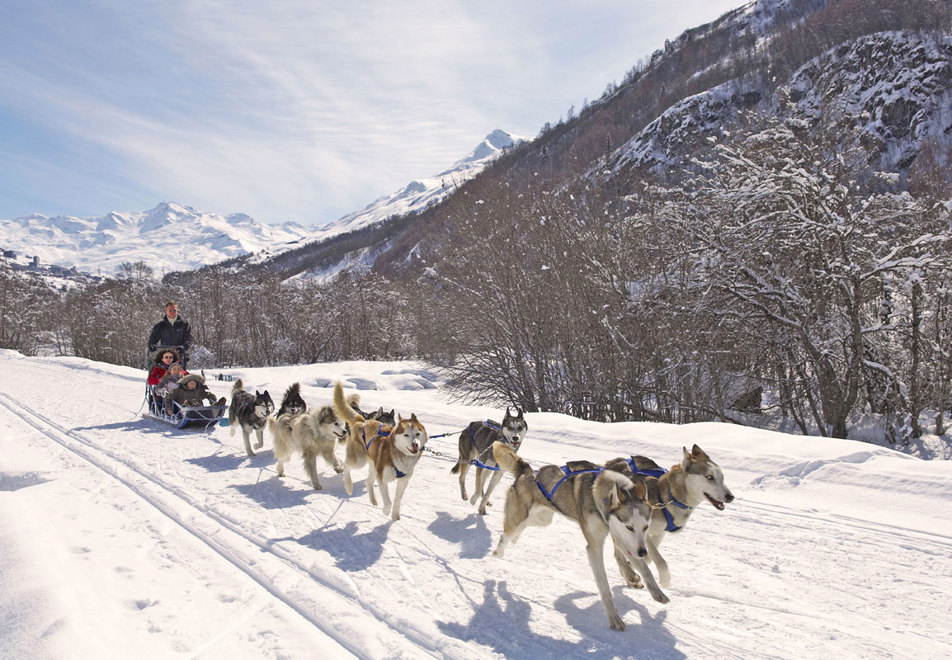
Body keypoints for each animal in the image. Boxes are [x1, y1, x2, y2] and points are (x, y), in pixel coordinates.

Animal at [330, 382, 428, 520]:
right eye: (406, 435)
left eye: (417, 434)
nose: (415, 444)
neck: (399, 455)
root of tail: (363, 421)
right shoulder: (382, 479)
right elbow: (388, 502)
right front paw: (386, 511)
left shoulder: (403, 481)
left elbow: (397, 500)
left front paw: (395, 515)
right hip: (359, 461)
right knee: (347, 465)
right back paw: (348, 486)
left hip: (373, 465)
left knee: (368, 481)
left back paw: (373, 500)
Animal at [494, 440, 664, 632]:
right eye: (629, 527)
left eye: (645, 527)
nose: (643, 552)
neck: (601, 497)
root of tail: (527, 472)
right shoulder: (595, 547)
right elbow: (605, 588)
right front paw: (614, 618)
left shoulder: (624, 540)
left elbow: (644, 568)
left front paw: (657, 592)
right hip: (521, 516)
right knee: (506, 534)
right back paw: (498, 552)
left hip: (543, 519)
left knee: (520, 530)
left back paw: (514, 541)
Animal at [608, 446, 732, 592]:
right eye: (709, 477)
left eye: (722, 478)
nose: (731, 496)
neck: (667, 496)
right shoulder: (641, 531)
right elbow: (659, 560)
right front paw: (665, 579)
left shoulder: (659, 532)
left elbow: (649, 557)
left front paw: (634, 566)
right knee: (618, 553)